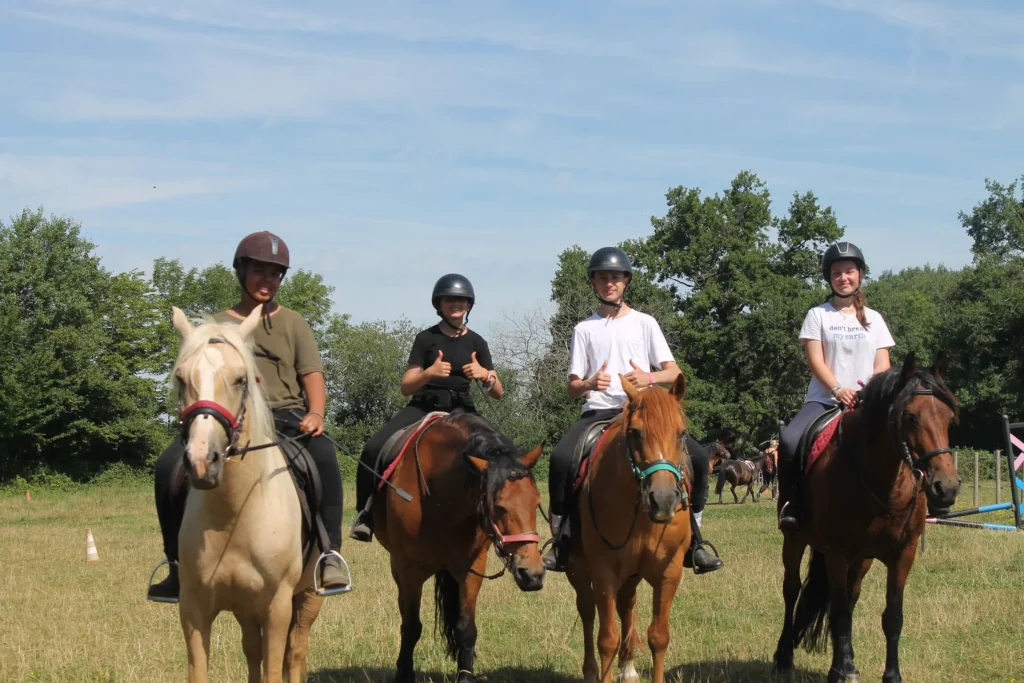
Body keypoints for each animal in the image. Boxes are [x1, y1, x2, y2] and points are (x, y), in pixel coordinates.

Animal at [169, 309, 325, 683]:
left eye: (241, 379)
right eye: (181, 378)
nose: (202, 462)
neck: (235, 513)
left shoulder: (277, 606)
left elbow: (277, 666)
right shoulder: (193, 607)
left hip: (309, 597)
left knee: (296, 654)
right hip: (245, 608)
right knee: (253, 651)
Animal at [368, 411, 544, 683]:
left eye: (536, 503)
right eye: (499, 506)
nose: (532, 574)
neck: (438, 496)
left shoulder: (470, 569)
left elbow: (466, 629)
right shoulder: (409, 570)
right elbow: (411, 626)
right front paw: (404, 674)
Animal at [565, 374, 692, 683]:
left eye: (681, 433)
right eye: (635, 433)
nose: (663, 500)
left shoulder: (670, 570)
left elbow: (658, 636)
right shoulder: (603, 572)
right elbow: (606, 639)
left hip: (631, 574)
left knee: (627, 605)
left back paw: (628, 667)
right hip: (578, 570)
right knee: (587, 610)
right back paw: (591, 671)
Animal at [774, 352, 958, 683]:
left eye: (948, 418)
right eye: (911, 417)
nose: (946, 488)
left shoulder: (902, 554)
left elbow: (891, 616)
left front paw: (890, 675)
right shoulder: (836, 554)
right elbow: (838, 614)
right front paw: (837, 672)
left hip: (862, 560)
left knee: (850, 597)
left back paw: (848, 662)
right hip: (794, 540)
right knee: (791, 590)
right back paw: (785, 657)